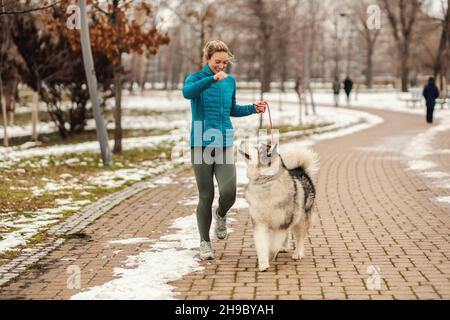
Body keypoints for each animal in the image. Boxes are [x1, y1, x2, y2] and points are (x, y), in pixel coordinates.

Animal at [237, 141, 318, 272]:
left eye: (256, 147)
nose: (242, 141)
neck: (266, 182)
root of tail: (299, 169)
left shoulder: (282, 224)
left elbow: (274, 246)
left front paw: (270, 256)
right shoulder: (260, 224)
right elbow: (262, 245)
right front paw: (263, 263)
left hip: (301, 219)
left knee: (299, 237)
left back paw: (298, 253)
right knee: (288, 234)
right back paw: (284, 247)